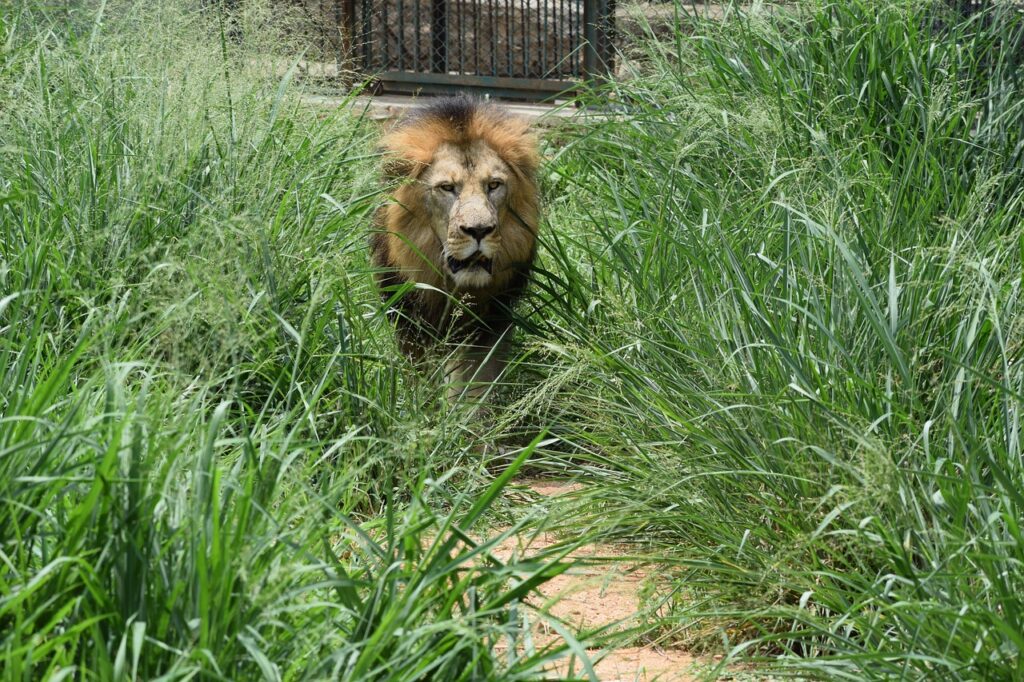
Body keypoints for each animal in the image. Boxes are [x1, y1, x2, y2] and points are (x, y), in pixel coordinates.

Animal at [370, 96, 544, 403]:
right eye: (447, 187)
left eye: (494, 185)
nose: (479, 230)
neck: (454, 288)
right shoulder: (411, 325)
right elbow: (421, 381)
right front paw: (424, 409)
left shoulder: (488, 323)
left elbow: (473, 388)